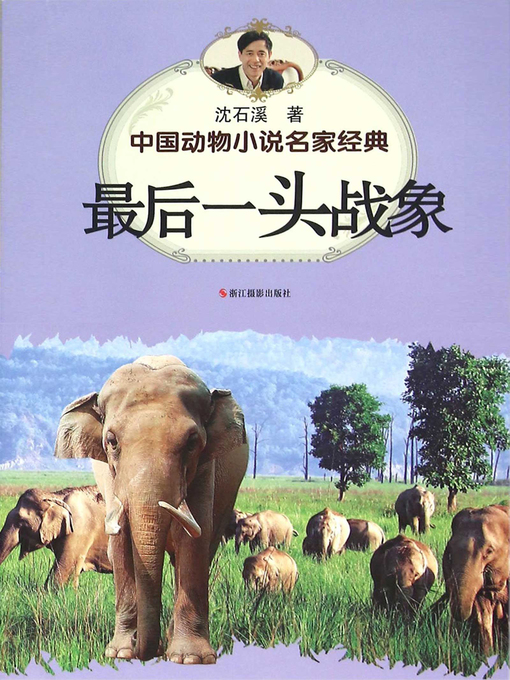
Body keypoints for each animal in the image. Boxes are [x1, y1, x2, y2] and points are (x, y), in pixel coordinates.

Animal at [54, 355, 249, 664]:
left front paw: (190, 659)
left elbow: (194, 542)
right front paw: (121, 653)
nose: (142, 647)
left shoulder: (205, 469)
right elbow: (120, 543)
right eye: (111, 441)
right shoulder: (111, 482)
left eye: (192, 442)